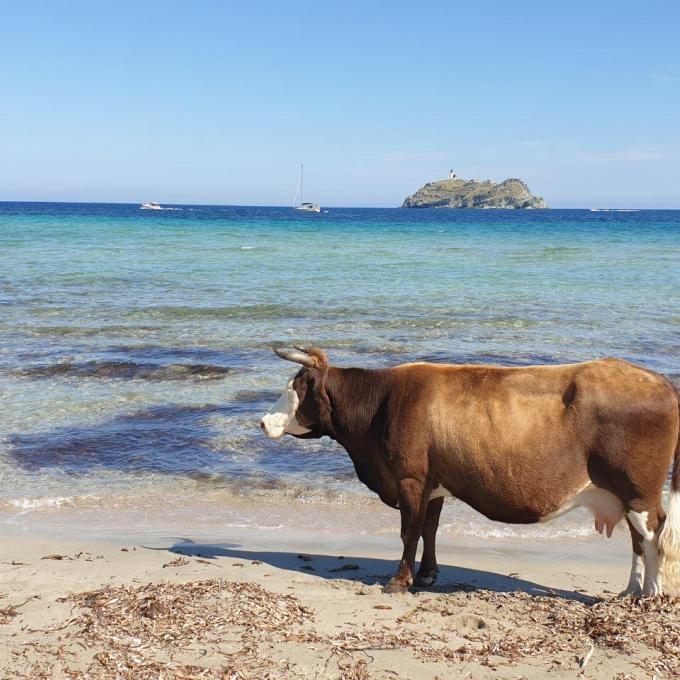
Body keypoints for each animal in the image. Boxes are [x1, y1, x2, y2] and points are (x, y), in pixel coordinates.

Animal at [258, 346, 680, 596]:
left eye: (296, 387)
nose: (262, 421)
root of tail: (658, 379)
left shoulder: (409, 480)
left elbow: (409, 532)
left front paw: (399, 580)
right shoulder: (433, 484)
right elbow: (428, 529)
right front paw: (427, 574)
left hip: (638, 490)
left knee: (654, 536)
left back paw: (651, 593)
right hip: (624, 494)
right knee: (638, 540)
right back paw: (630, 591)